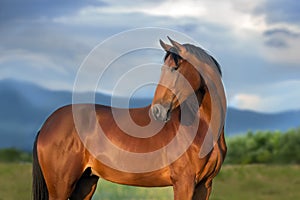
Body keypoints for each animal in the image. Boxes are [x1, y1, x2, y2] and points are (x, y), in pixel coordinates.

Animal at [32, 38, 226, 200]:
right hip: (61, 187)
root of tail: (47, 124)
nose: (157, 111)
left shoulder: (204, 185)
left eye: (174, 68)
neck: (202, 127)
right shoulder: (184, 182)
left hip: (86, 182)